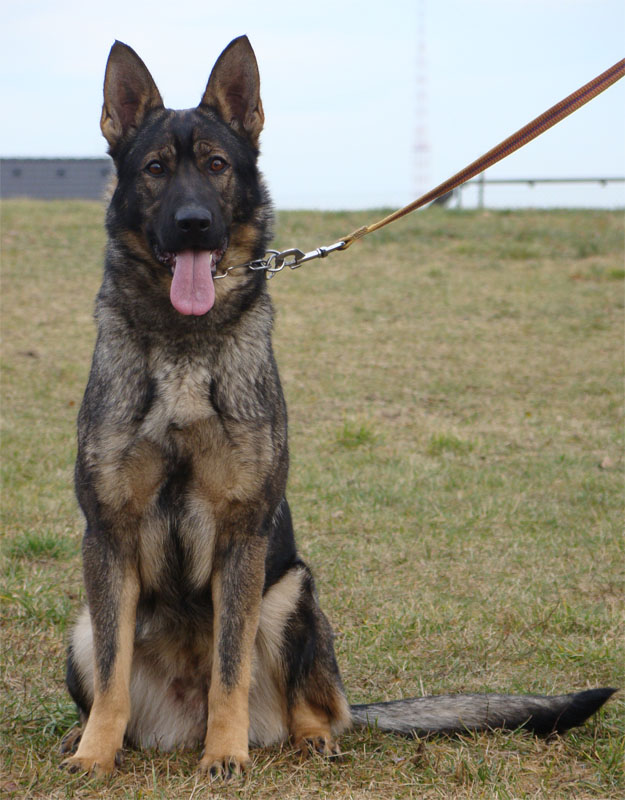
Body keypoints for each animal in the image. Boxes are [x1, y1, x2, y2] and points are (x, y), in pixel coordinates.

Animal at [60, 36, 615, 778]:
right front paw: (95, 755)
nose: (193, 224)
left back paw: (305, 738)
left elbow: (229, 667)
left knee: (319, 703)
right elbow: (115, 674)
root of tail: (179, 723)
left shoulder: (242, 536)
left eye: (215, 166)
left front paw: (225, 754)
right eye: (154, 170)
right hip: (82, 627)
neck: (184, 346)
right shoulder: (109, 536)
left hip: (293, 594)